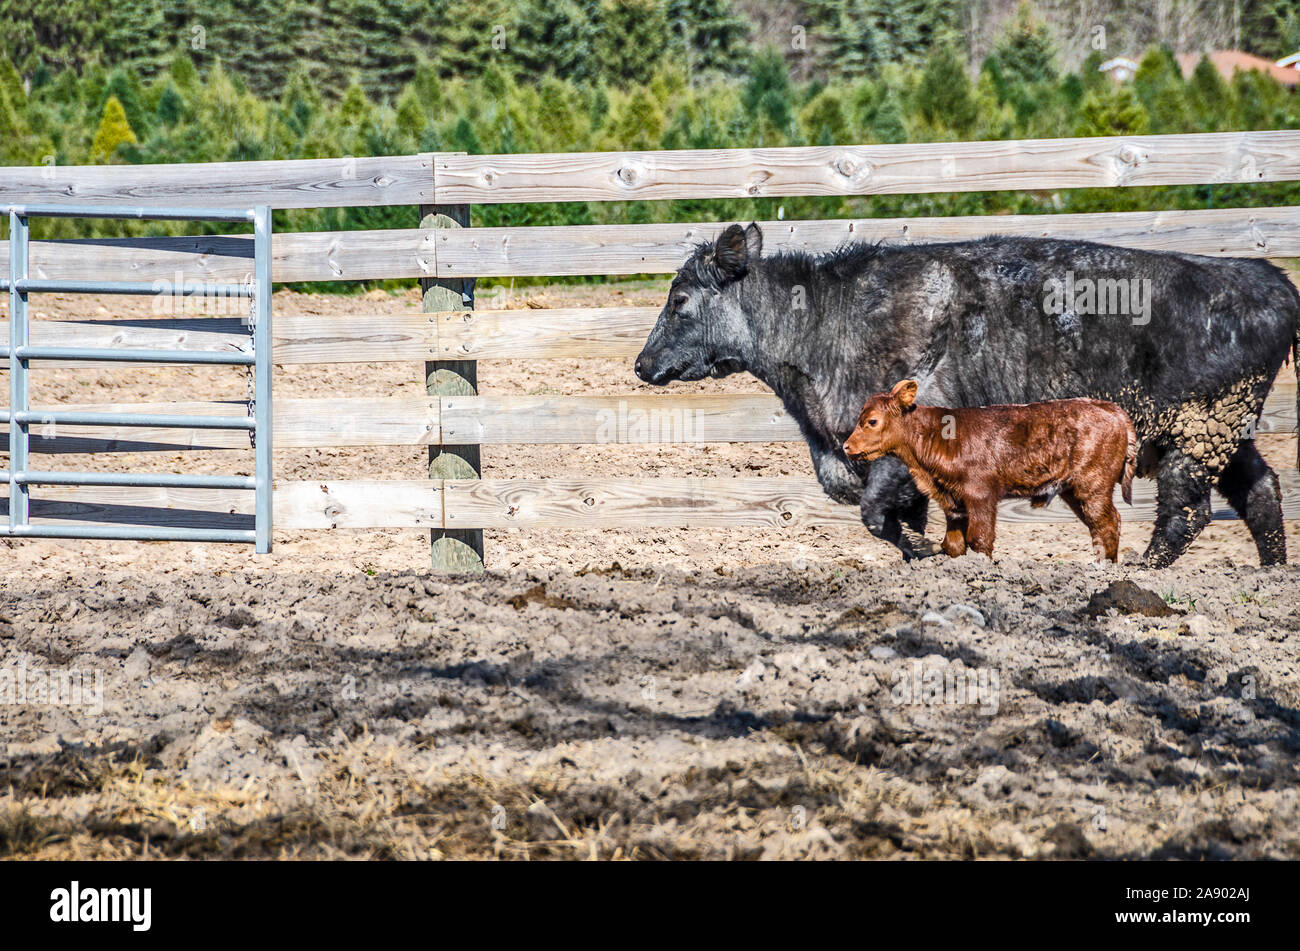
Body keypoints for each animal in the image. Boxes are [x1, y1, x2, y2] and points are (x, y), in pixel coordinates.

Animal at [842, 376, 1138, 556]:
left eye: (871, 421)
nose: (846, 446)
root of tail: (1109, 408)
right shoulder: (954, 501)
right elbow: (953, 543)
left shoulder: (980, 493)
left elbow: (980, 538)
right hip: (1074, 490)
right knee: (1098, 525)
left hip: (1093, 484)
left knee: (1107, 523)